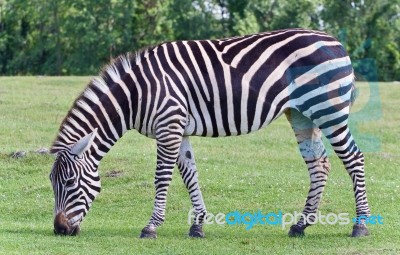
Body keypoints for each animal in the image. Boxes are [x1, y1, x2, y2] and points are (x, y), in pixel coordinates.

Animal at [50, 28, 372, 238]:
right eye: (53, 183)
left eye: (70, 182)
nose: (59, 230)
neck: (135, 95)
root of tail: (335, 41)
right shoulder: (178, 129)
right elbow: (190, 174)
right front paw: (197, 225)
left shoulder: (169, 125)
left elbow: (162, 177)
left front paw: (151, 227)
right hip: (302, 114)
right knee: (319, 165)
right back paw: (300, 225)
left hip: (328, 110)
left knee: (354, 159)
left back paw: (360, 225)